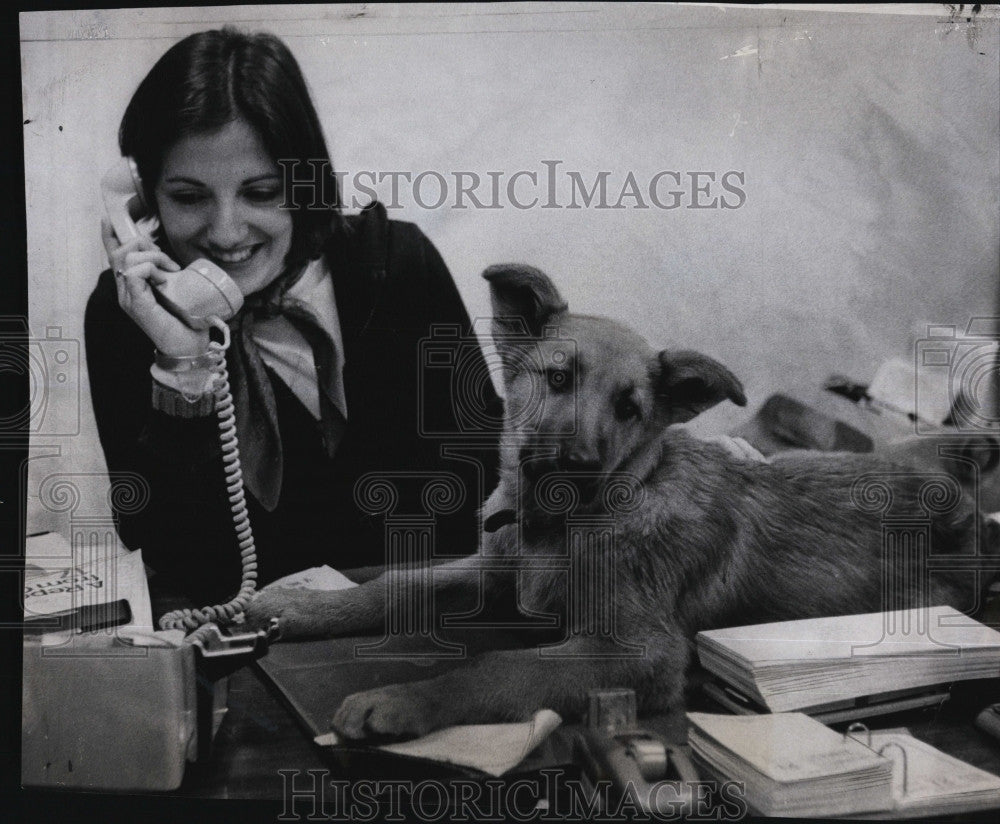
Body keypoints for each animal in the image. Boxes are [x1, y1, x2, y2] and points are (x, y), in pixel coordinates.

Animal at [244, 264, 992, 740]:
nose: (576, 465)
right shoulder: (489, 573)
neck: (561, 525)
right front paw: (297, 605)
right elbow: (394, 585)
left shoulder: (641, 653)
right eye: (558, 378)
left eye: (630, 408)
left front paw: (403, 700)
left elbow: (499, 666)